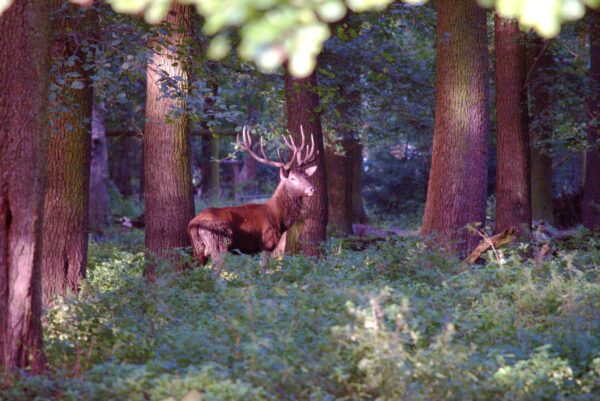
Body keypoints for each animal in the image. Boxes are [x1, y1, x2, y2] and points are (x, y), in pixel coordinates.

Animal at [188, 126, 318, 276]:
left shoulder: (251, 251)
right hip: (218, 242)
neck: (278, 219)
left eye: (306, 176)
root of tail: (194, 223)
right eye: (293, 178)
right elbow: (263, 270)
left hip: (198, 248)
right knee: (215, 271)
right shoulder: (268, 242)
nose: (312, 189)